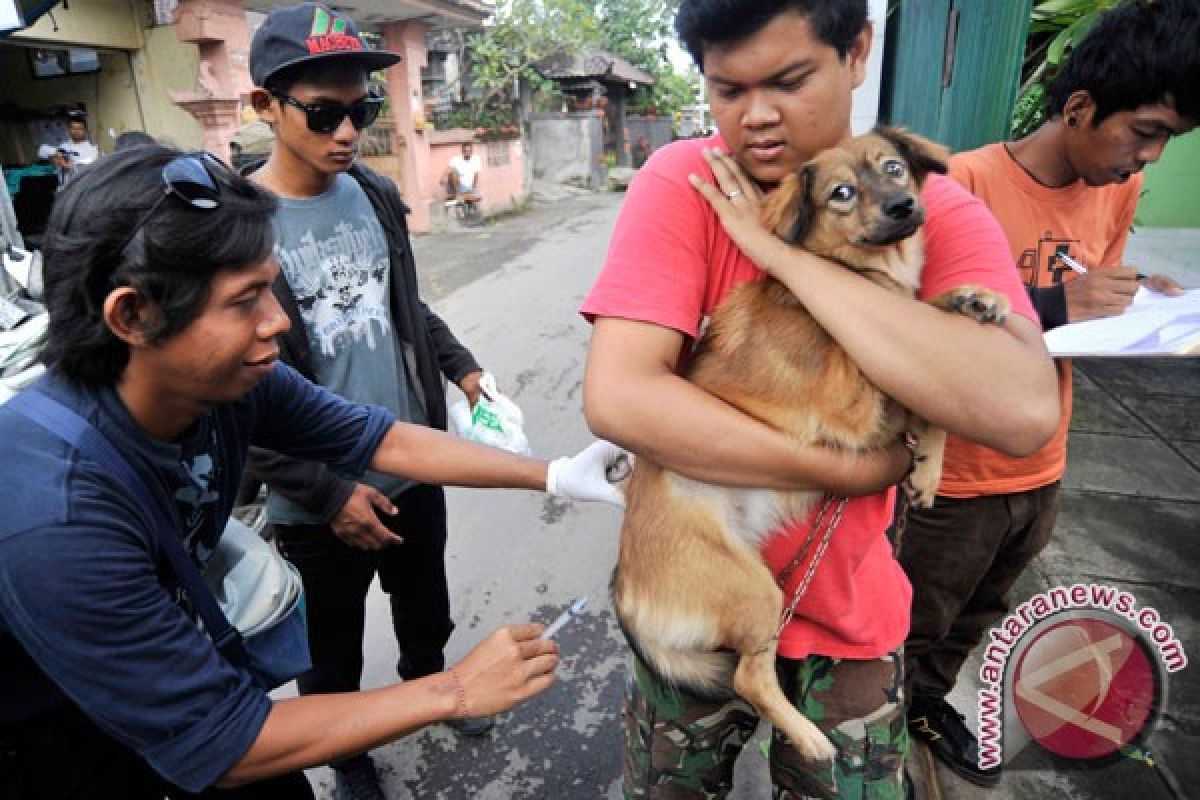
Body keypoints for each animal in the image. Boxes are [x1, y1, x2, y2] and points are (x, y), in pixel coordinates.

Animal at [614, 128, 1008, 762]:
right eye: (841, 193)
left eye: (893, 169)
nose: (902, 207)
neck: (852, 275)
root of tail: (624, 589)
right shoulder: (857, 400)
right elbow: (914, 343)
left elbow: (930, 365)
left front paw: (974, 298)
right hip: (756, 591)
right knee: (750, 677)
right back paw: (808, 736)